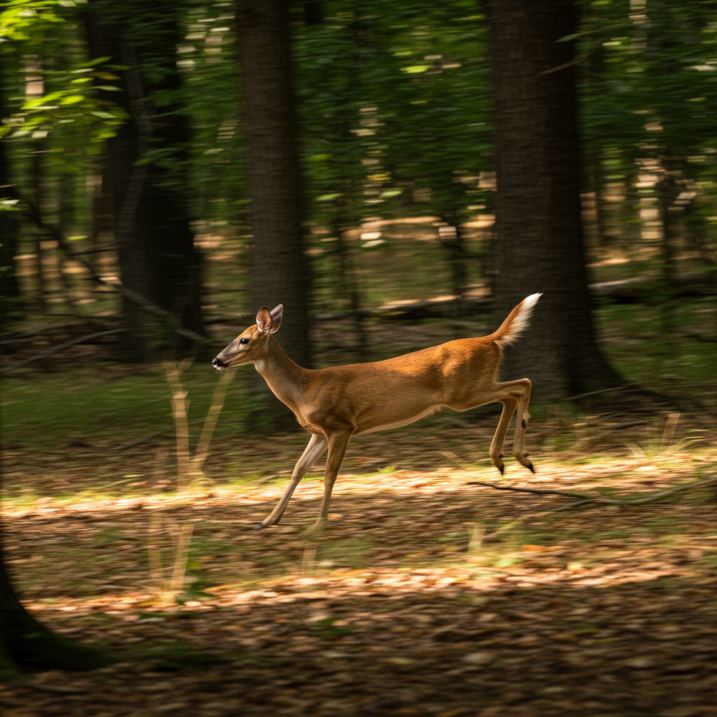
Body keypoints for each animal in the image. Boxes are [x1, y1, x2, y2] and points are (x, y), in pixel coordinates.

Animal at [212, 293, 541, 531]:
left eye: (243, 339)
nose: (216, 360)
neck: (304, 389)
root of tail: (490, 339)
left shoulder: (341, 425)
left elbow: (330, 473)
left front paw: (319, 522)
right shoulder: (318, 432)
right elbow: (298, 469)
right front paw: (268, 520)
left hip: (464, 392)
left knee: (521, 385)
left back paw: (520, 456)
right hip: (472, 388)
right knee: (514, 391)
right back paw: (503, 459)